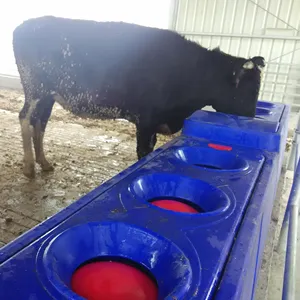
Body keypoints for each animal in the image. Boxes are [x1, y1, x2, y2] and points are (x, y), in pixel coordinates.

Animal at [12, 16, 264, 177]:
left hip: (48, 95)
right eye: (249, 90)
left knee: (39, 123)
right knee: (25, 117)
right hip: (34, 88)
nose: (252, 118)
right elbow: (143, 153)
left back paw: (43, 163)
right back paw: (29, 167)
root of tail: (25, 25)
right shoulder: (146, 120)